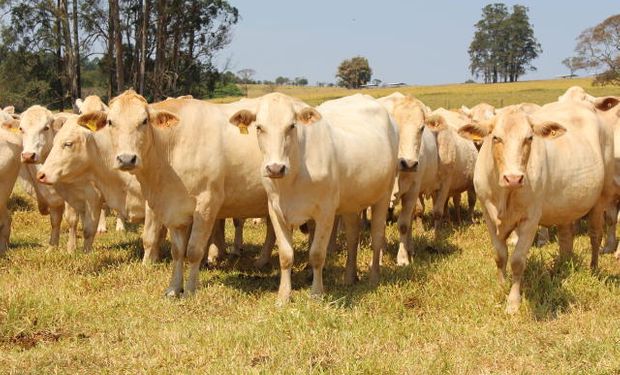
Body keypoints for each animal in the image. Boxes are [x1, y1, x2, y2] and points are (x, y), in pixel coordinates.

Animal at [229, 93, 398, 306]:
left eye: (292, 126)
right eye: (259, 127)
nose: (275, 168)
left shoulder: (326, 212)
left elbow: (317, 254)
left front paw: (317, 293)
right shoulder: (275, 210)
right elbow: (286, 255)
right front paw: (283, 296)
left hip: (384, 195)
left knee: (377, 237)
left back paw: (374, 277)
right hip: (351, 203)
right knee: (353, 237)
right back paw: (349, 277)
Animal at [458, 100, 612, 314]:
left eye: (529, 138)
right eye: (496, 137)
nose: (513, 178)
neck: (504, 195)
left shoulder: (530, 220)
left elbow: (517, 261)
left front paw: (513, 303)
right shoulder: (489, 217)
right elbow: (500, 256)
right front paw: (501, 288)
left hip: (600, 199)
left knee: (595, 236)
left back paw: (593, 268)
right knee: (566, 237)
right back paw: (562, 266)